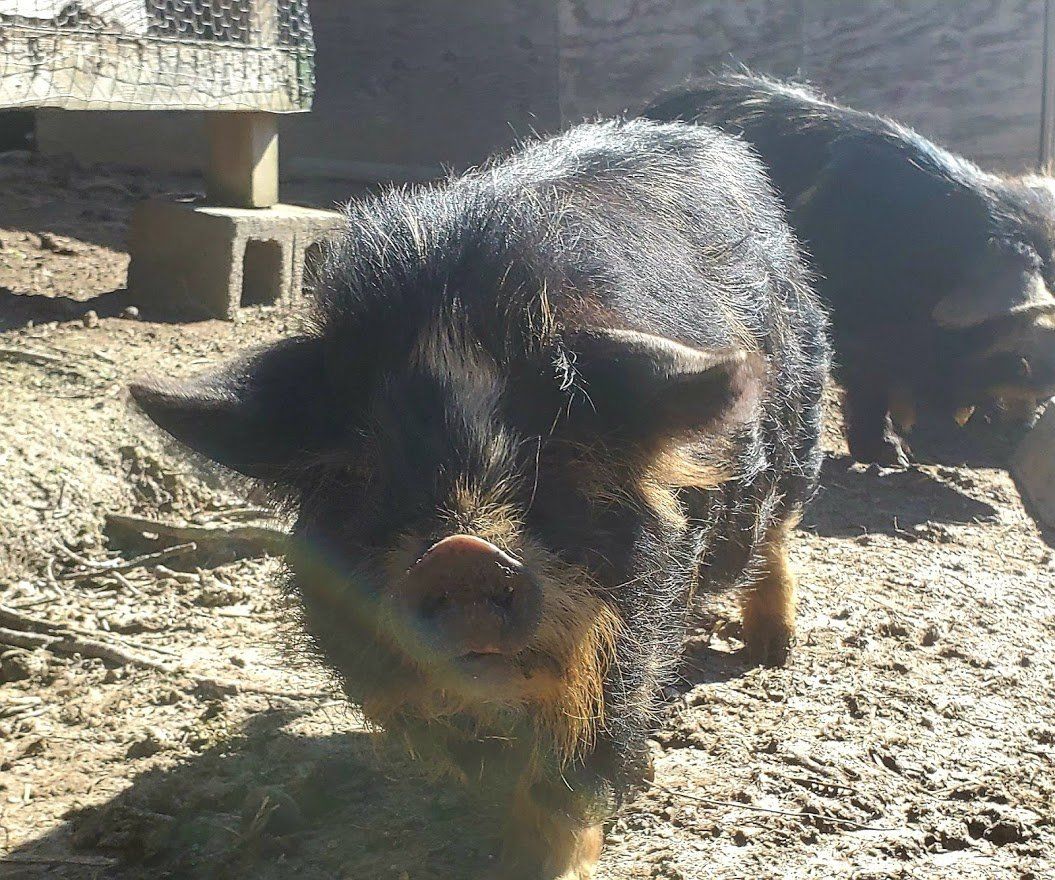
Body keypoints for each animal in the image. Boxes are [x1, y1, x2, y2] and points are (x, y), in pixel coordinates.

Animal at [130, 119, 828, 879]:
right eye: (365, 470)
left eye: (551, 451)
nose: (461, 553)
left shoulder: (637, 616)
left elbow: (580, 759)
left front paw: (544, 859)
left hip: (797, 444)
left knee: (776, 537)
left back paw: (773, 651)